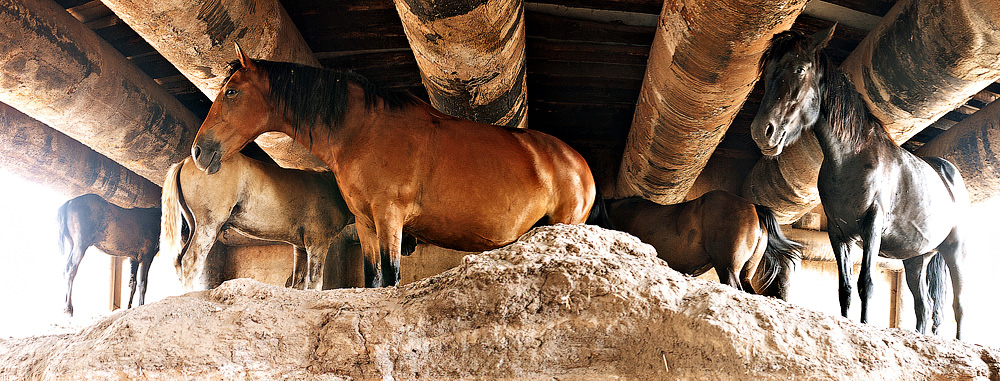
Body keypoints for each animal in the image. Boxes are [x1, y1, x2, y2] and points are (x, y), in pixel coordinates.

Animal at [189, 45, 592, 288]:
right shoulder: (367, 224)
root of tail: (578, 163)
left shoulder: (390, 217)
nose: (198, 151)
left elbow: (391, 279)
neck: (364, 130)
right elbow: (372, 282)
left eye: (231, 92)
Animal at [752, 25, 968, 336]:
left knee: (959, 304)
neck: (852, 158)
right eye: (767, 70)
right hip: (917, 259)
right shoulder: (839, 234)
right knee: (924, 306)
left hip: (955, 250)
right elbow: (845, 288)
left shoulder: (872, 227)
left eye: (800, 69)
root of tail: (949, 173)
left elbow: (867, 283)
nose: (762, 132)